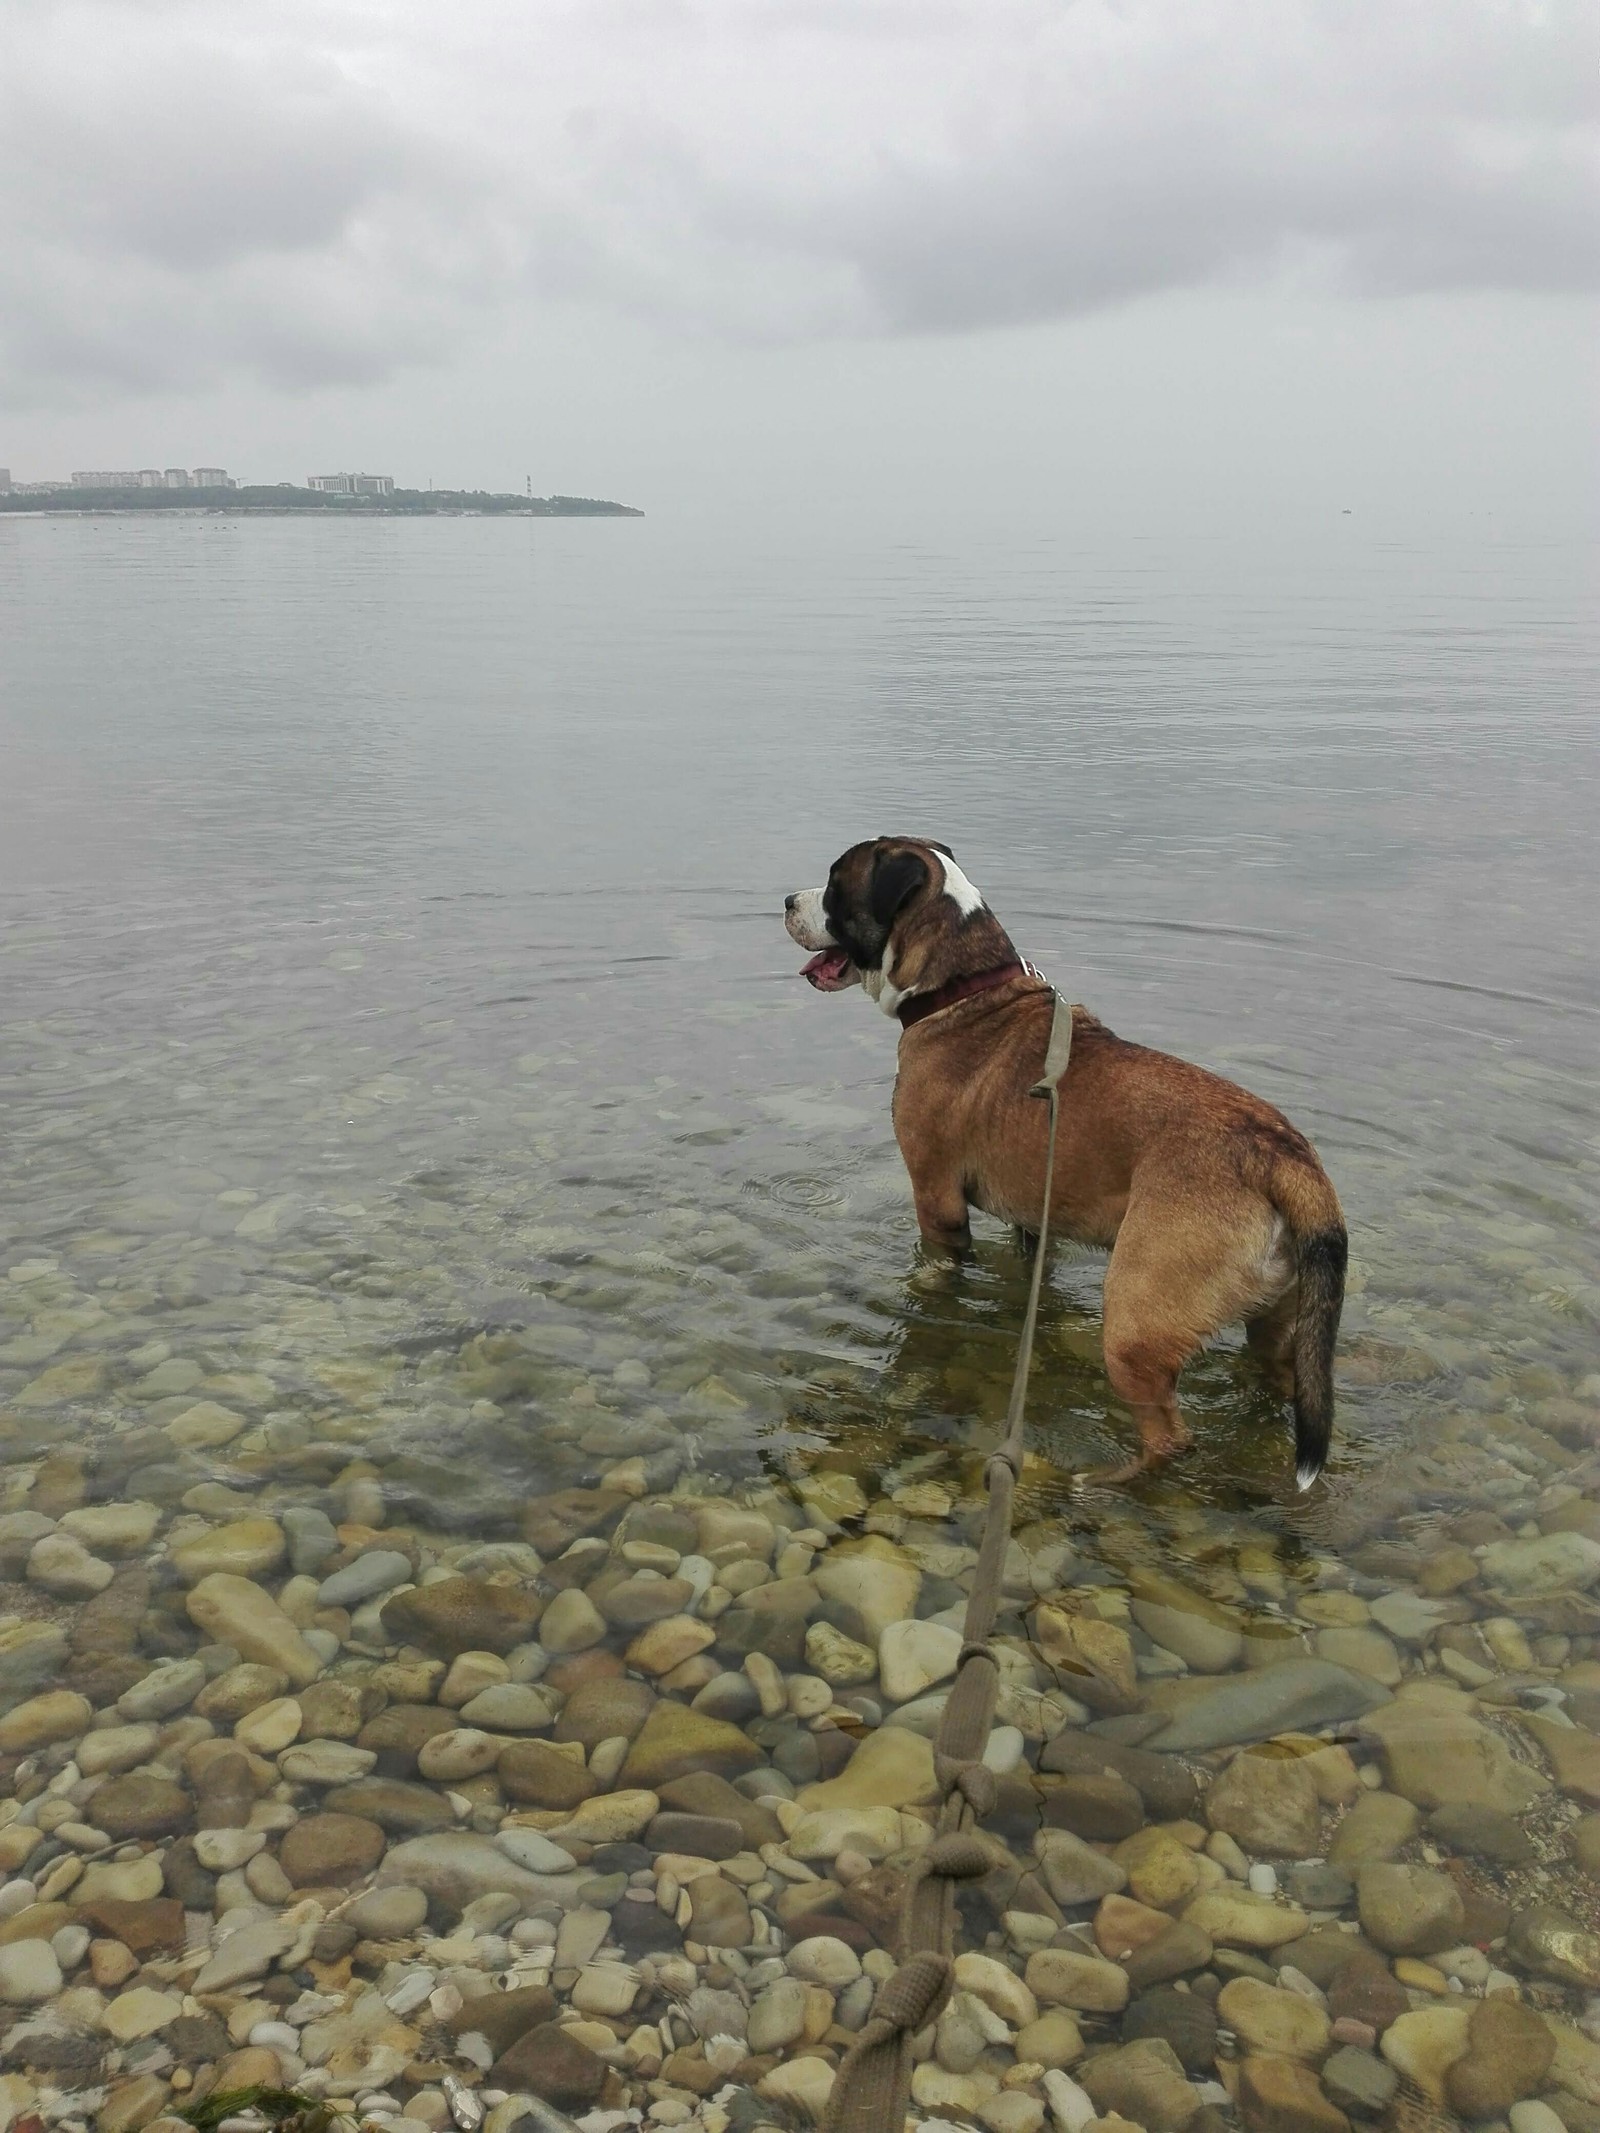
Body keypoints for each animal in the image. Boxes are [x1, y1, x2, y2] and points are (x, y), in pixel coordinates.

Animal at [789, 831, 1356, 1484]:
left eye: (836, 885)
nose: (787, 901)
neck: (964, 989)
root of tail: (1281, 1154)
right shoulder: (1033, 1223)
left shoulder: (936, 1202)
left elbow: (936, 1274)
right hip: (1279, 1323)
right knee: (1277, 1384)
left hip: (1135, 1323)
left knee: (1171, 1438)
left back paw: (1100, 1481)